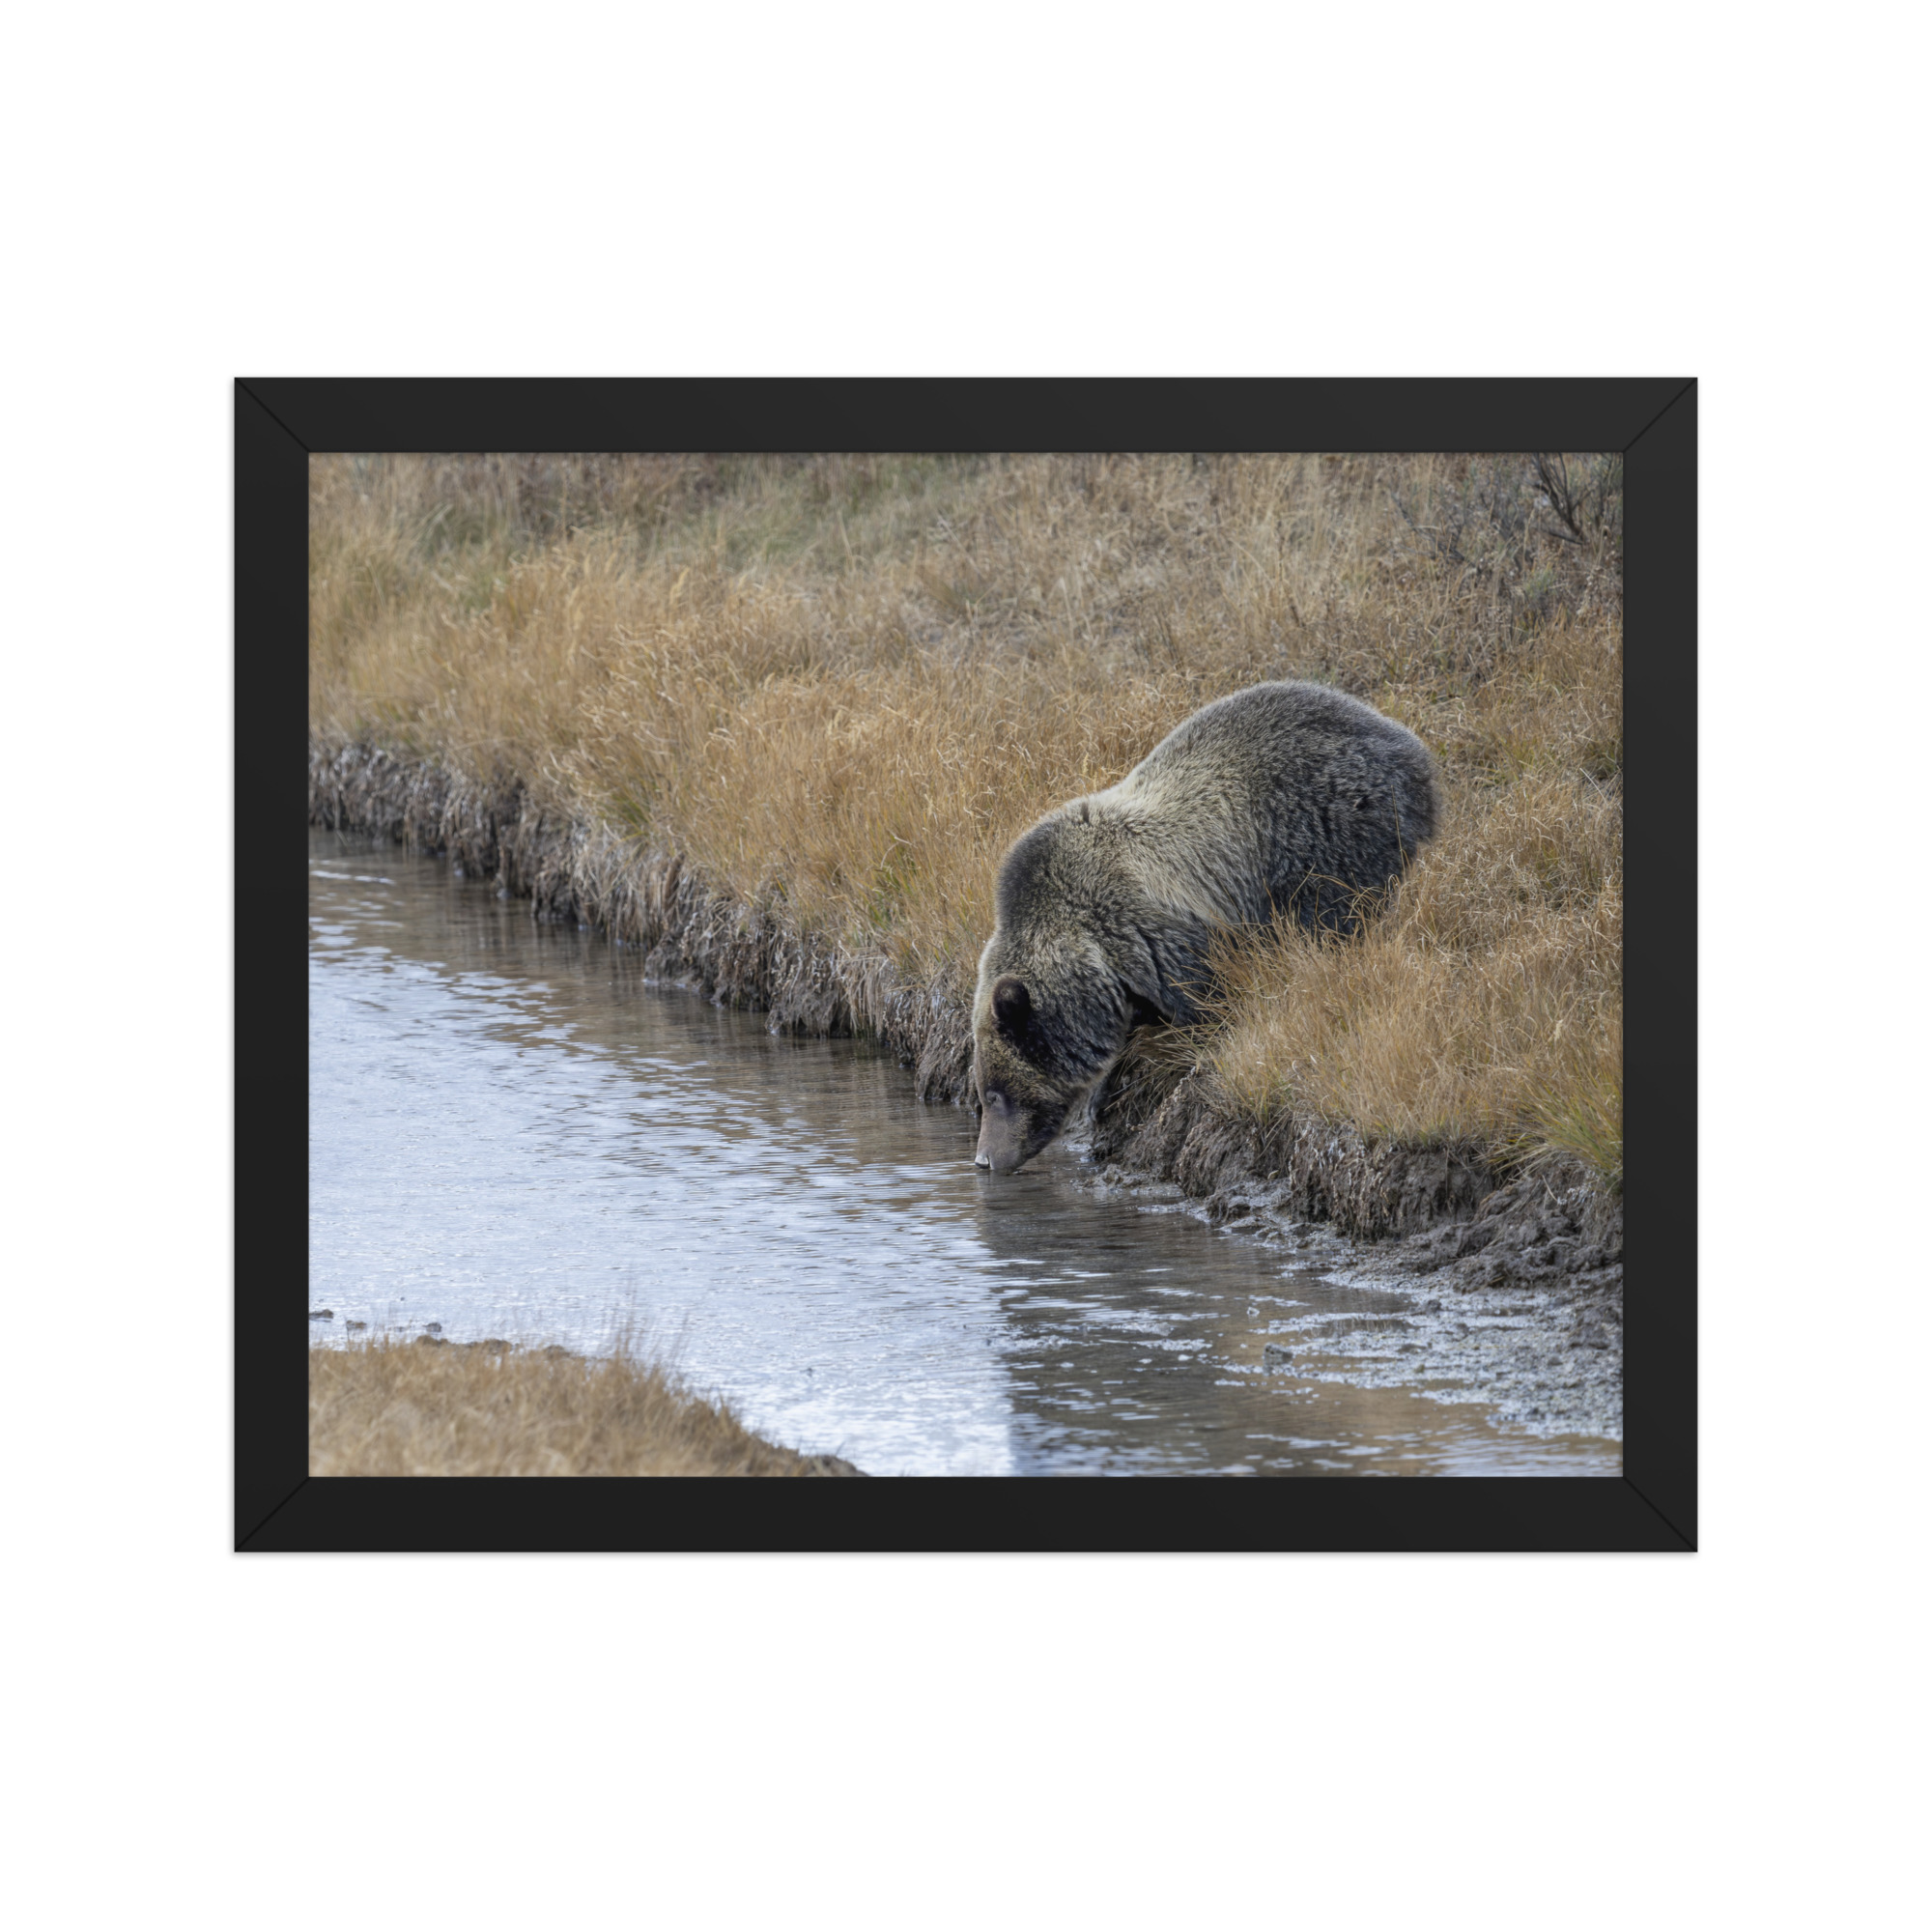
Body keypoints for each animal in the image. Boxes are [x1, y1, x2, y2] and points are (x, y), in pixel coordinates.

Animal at [971, 679, 1439, 1174]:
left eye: (995, 1094)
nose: (983, 1159)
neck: (1094, 955)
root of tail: (1409, 745)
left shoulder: (1156, 934)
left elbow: (1205, 1000)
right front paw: (1105, 1090)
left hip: (1325, 828)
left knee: (1333, 914)